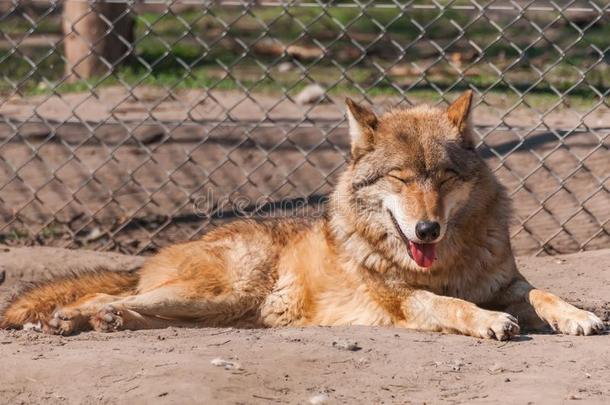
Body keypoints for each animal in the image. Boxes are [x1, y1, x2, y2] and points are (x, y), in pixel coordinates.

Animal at [1, 91, 604, 338]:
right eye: (401, 179)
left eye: (444, 177)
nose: (427, 228)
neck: (446, 261)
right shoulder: (402, 299)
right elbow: (449, 305)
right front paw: (487, 322)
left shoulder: (507, 283)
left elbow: (543, 293)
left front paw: (577, 316)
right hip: (220, 293)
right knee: (101, 296)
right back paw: (69, 320)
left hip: (216, 309)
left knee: (126, 306)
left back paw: (105, 321)